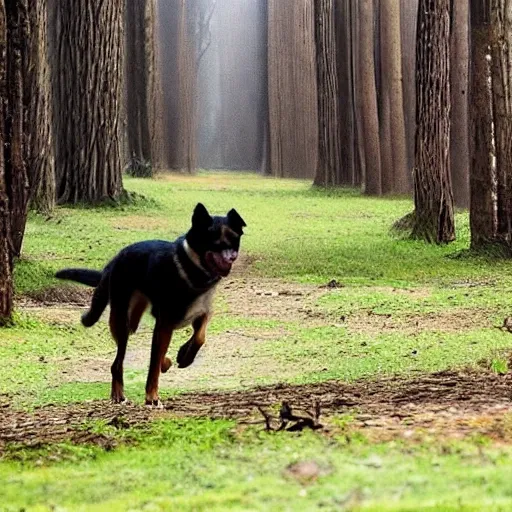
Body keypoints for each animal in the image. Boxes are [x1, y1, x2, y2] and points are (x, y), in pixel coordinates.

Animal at [56, 202, 246, 406]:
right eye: (212, 238)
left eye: (234, 238)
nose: (231, 256)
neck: (191, 269)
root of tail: (116, 258)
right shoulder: (164, 323)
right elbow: (154, 363)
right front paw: (152, 396)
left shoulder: (201, 313)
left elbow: (199, 337)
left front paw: (182, 356)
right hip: (122, 322)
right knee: (116, 364)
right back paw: (118, 394)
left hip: (133, 320)